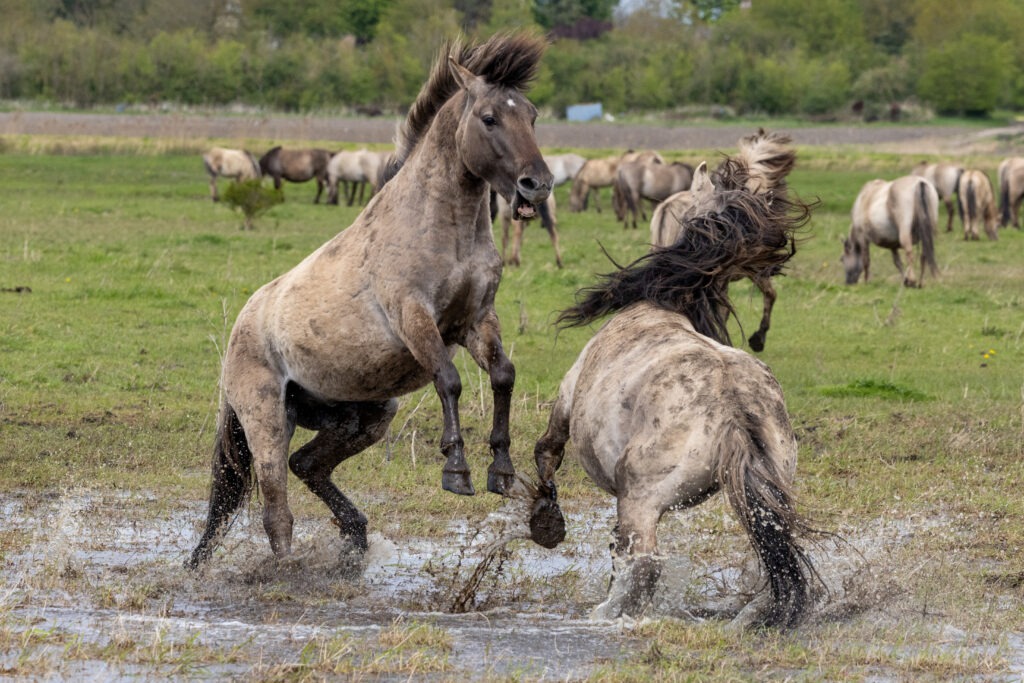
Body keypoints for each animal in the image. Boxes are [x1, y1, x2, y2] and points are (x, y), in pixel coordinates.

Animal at [190, 31, 561, 569]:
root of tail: (242, 323)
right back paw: (288, 570)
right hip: (265, 420)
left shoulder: (476, 320)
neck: (442, 227)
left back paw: (354, 538)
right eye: (489, 117)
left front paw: (502, 469)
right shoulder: (414, 318)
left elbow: (503, 376)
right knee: (276, 507)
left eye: (531, 116)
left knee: (308, 465)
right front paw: (456, 469)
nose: (538, 184)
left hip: (366, 416)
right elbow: (449, 380)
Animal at [536, 160, 815, 630]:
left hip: (641, 501)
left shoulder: (565, 401)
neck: (660, 303)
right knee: (774, 561)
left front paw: (545, 523)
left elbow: (546, 456)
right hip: (765, 498)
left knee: (645, 564)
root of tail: (733, 411)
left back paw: (604, 613)